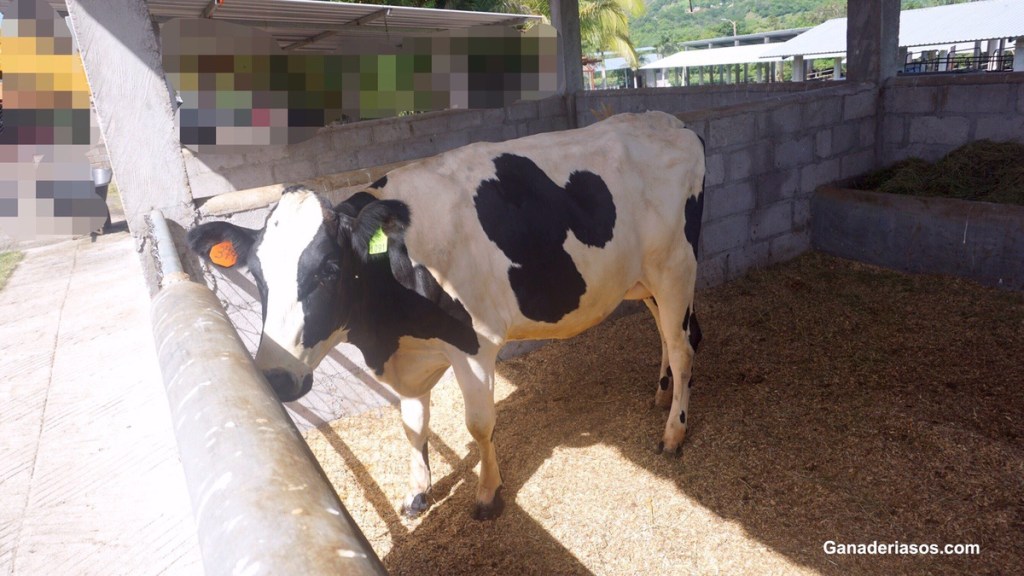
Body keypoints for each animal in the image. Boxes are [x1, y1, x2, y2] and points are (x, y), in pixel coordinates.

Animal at [187, 111, 706, 520]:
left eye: (329, 269)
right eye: (257, 275)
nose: (276, 379)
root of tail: (672, 122)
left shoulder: (475, 346)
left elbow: (478, 425)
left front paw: (488, 494)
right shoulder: (410, 358)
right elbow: (414, 425)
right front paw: (418, 492)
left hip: (675, 267)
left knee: (684, 346)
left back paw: (674, 431)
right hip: (643, 280)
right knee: (666, 333)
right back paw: (662, 394)